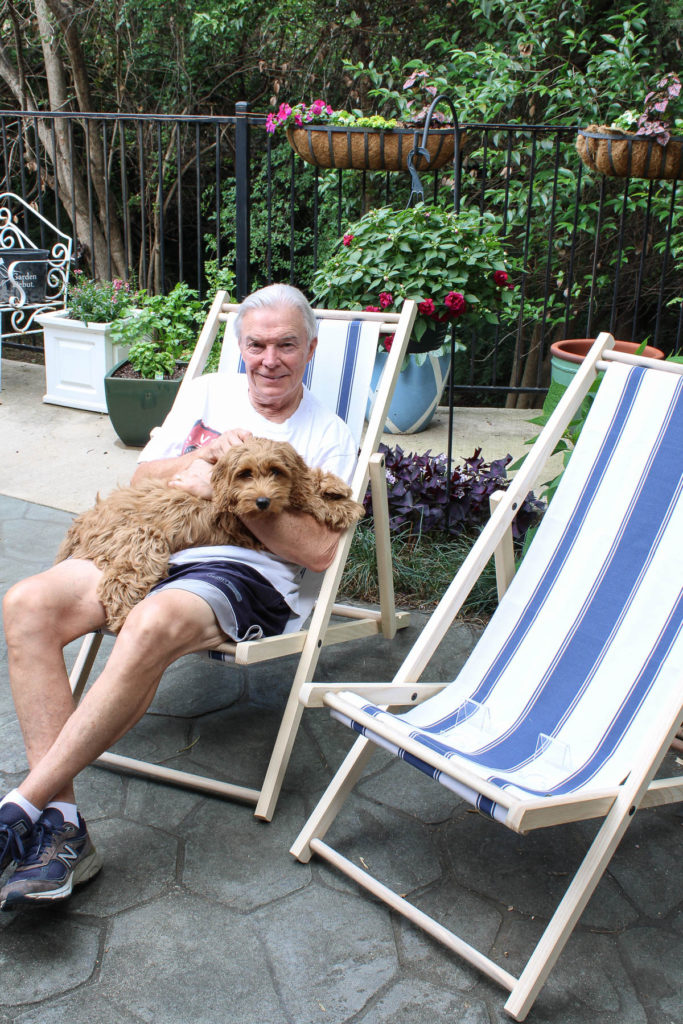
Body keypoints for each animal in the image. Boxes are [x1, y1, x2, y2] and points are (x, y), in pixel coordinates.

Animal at [56, 438, 366, 630]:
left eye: (276, 472)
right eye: (246, 474)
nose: (263, 501)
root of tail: (82, 522)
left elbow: (302, 484)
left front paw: (333, 487)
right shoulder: (240, 521)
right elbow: (302, 498)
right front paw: (341, 505)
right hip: (142, 540)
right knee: (117, 585)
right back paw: (123, 618)